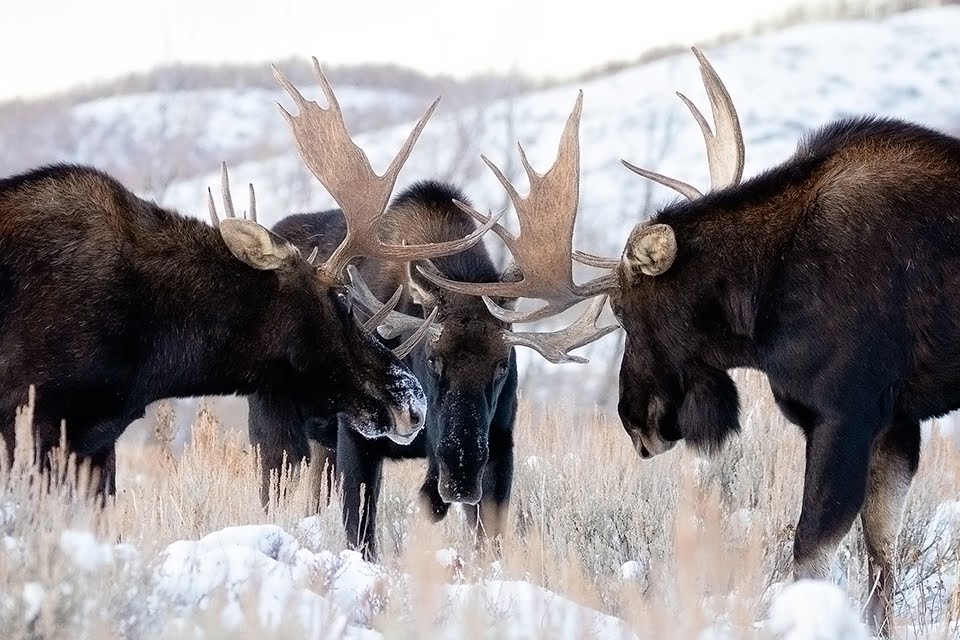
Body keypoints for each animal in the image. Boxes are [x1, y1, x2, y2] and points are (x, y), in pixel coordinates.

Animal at [251, 175, 617, 560]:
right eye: (432, 359)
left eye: (502, 365)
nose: (462, 475)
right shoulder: (356, 437)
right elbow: (360, 533)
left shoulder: (500, 443)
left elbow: (487, 538)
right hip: (273, 428)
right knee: (274, 489)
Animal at [421, 47, 959, 635]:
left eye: (626, 313)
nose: (632, 419)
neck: (763, 300)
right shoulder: (898, 422)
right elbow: (881, 556)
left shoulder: (847, 412)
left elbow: (811, 550)